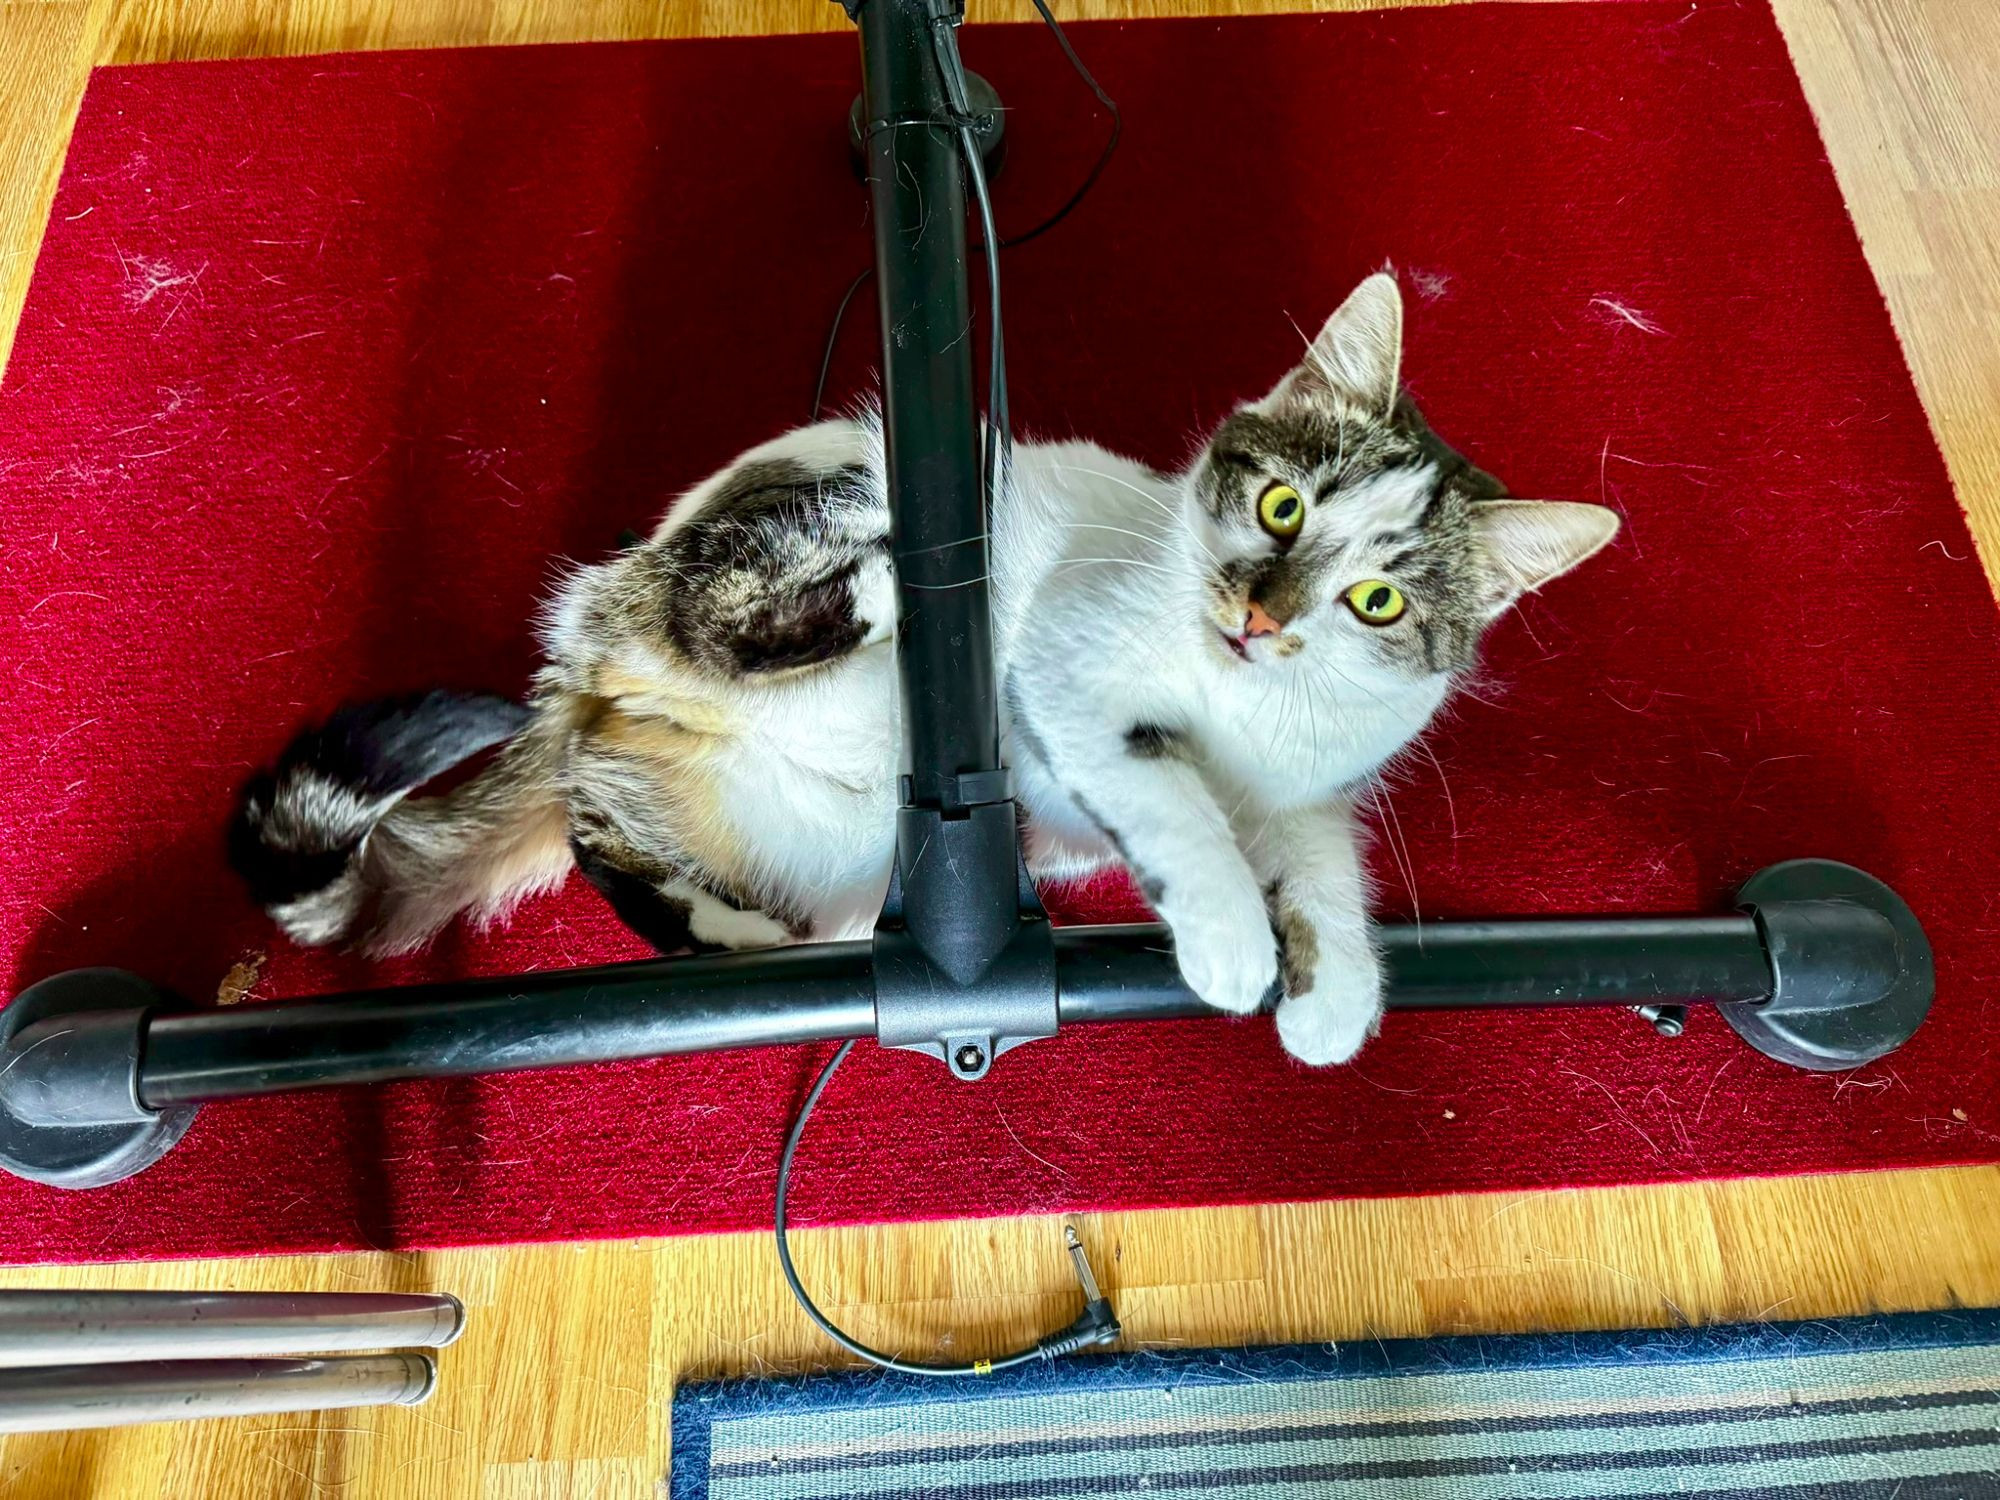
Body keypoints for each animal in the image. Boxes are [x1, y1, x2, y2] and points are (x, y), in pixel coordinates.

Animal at [234, 274, 1616, 1072]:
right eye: (1279, 506)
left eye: (1375, 600)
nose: (1252, 616)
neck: (1247, 710)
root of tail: (586, 666)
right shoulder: (1071, 672)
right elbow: (1169, 798)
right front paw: (1229, 938)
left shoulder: (1300, 791)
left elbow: (1323, 865)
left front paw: (1332, 996)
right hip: (812, 505)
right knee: (709, 633)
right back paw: (887, 585)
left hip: (827, 847)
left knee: (602, 820)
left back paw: (733, 927)